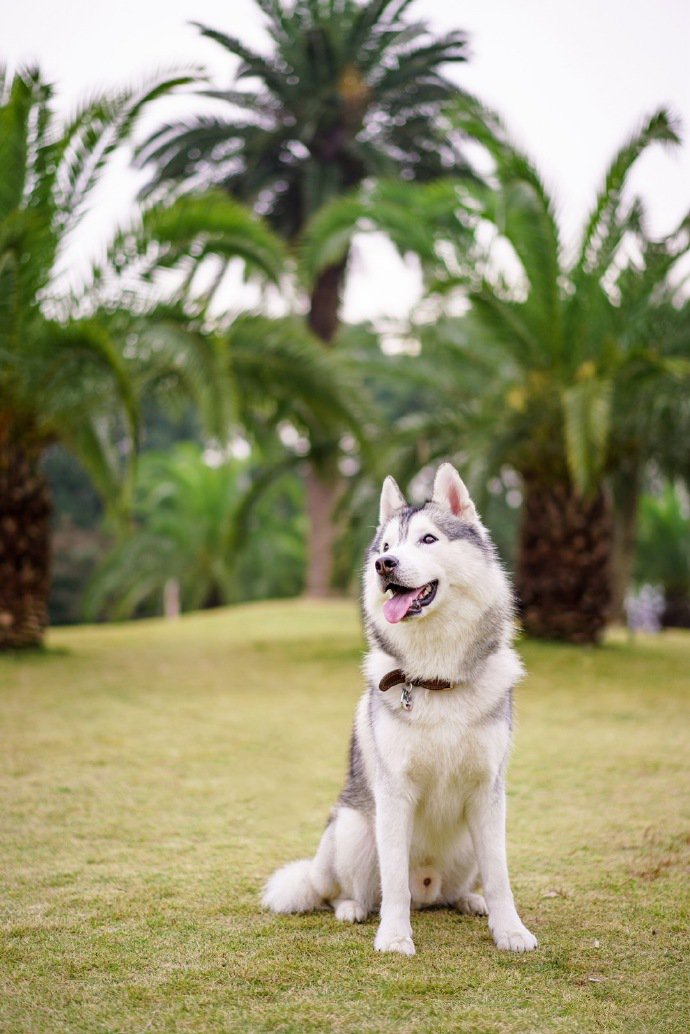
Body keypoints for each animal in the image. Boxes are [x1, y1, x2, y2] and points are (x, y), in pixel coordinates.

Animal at [261, 465, 537, 955]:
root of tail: (427, 889)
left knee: (453, 890)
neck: (436, 678)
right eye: (387, 547)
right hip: (352, 828)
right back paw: (353, 908)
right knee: (349, 892)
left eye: (428, 539)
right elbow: (392, 884)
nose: (383, 565)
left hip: (465, 843)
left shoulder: (488, 794)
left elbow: (500, 877)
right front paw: (393, 937)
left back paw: (469, 900)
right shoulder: (394, 795)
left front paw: (510, 931)